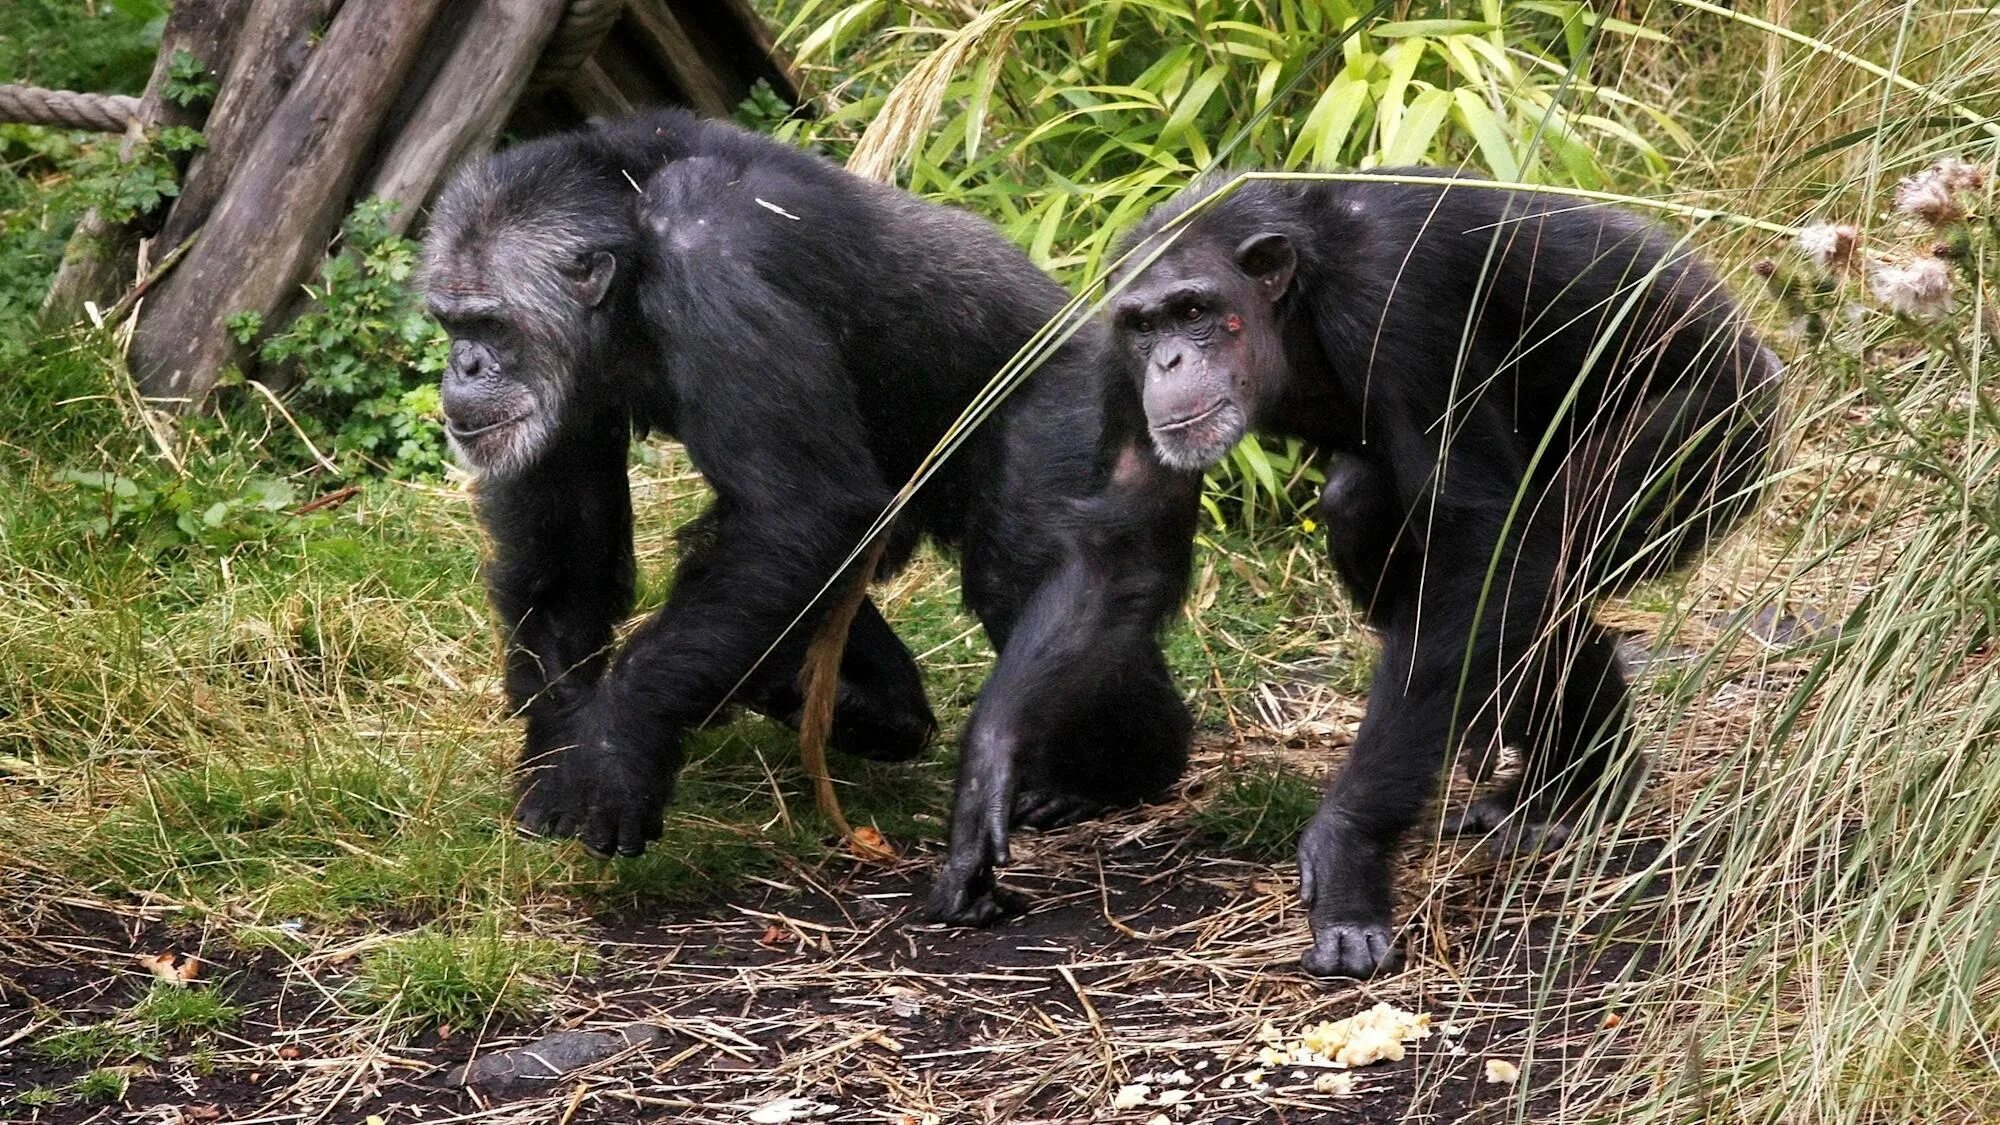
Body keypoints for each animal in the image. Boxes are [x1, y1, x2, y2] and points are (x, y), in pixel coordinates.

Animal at [420, 109, 1192, 896]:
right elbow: (570, 552)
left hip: (1076, 405)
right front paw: (554, 754)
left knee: (1023, 573)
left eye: (491, 324)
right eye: (450, 321)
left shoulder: (714, 266)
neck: (633, 249)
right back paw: (869, 707)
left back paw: (1122, 770)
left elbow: (801, 510)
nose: (463, 364)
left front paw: (615, 750)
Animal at [1112, 173, 1784, 972]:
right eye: (1143, 325)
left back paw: (1578, 789)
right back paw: (1564, 782)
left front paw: (1349, 852)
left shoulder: (1397, 303)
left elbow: (1477, 540)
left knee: (1546, 552)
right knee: (1378, 514)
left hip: (1711, 435)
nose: (1167, 362)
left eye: (1194, 310)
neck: (1301, 297)